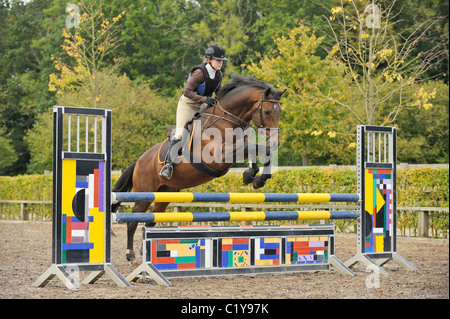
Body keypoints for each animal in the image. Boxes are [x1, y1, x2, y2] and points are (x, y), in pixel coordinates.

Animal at [112, 75, 288, 262]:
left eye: (280, 112)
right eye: (267, 112)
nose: (275, 142)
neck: (225, 120)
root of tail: (139, 160)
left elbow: (258, 149)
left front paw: (255, 178)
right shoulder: (218, 156)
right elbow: (252, 146)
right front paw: (252, 176)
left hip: (165, 193)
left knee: (151, 220)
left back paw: (144, 250)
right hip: (144, 192)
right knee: (133, 221)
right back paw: (130, 254)